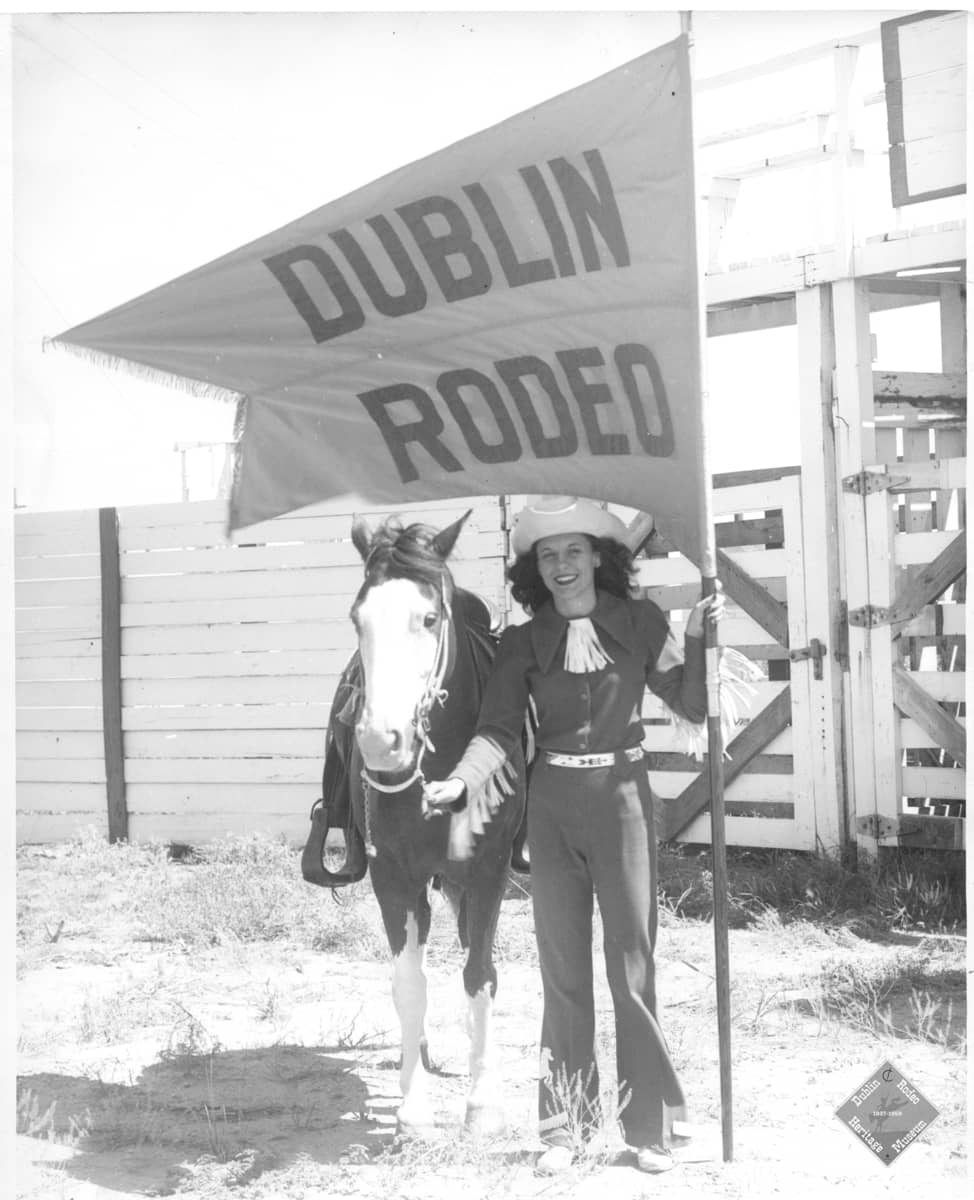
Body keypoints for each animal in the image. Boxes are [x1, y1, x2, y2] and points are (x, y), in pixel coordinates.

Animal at [321, 511, 525, 1137]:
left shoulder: (486, 875)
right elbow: (409, 984)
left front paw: (481, 1103)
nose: (381, 742)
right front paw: (412, 1107)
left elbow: (480, 975)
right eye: (357, 617)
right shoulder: (393, 878)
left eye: (430, 617)